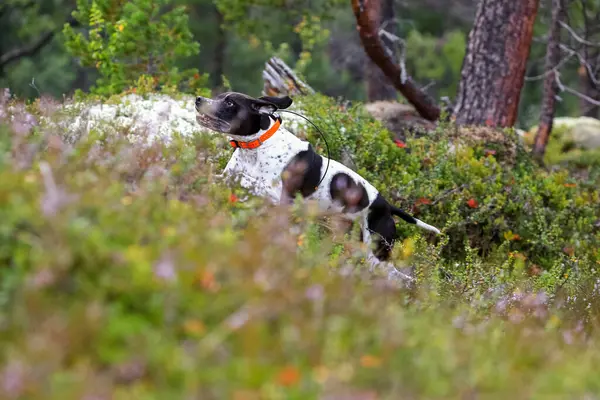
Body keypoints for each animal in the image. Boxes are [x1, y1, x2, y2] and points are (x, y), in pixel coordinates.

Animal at [193, 91, 440, 266]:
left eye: (230, 103)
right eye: (219, 96)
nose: (198, 99)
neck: (257, 147)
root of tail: (386, 205)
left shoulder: (280, 198)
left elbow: (248, 180)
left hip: (377, 253)